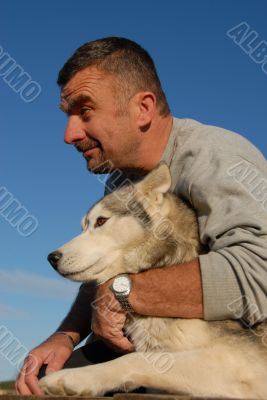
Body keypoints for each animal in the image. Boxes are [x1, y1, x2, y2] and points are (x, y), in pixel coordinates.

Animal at [39, 164, 267, 398]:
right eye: (83, 227)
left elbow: (135, 359)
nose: (52, 257)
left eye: (101, 221)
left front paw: (74, 378)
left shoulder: (239, 364)